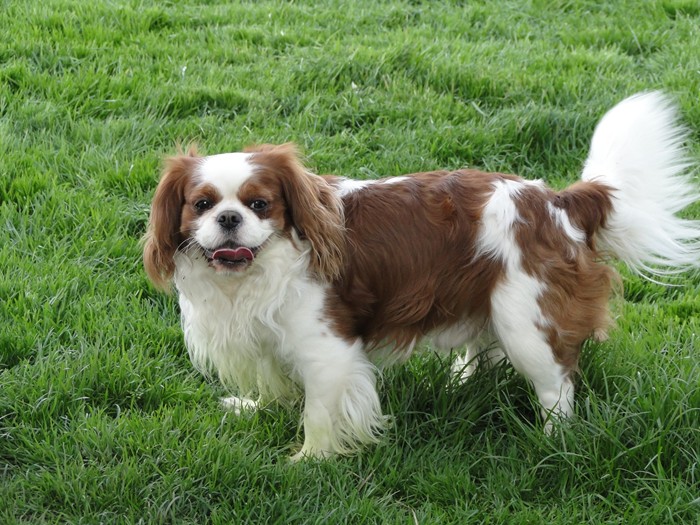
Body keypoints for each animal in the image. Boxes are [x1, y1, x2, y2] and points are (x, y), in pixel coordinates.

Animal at [144, 92, 700, 456]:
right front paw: (256, 407)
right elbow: (275, 384)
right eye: (201, 205)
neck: (255, 273)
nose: (229, 219)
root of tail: (557, 201)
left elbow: (318, 412)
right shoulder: (261, 336)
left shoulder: (328, 348)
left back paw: (552, 444)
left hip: (527, 321)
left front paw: (307, 462)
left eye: (260, 204)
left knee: (557, 387)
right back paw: (462, 381)